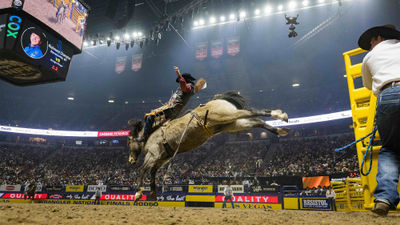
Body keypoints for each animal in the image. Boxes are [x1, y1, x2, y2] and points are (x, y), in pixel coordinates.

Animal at [130, 90, 290, 201]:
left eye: (129, 140)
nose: (130, 160)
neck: (151, 134)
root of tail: (215, 100)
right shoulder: (161, 159)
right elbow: (152, 172)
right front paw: (152, 193)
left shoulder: (153, 155)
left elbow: (143, 169)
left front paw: (138, 193)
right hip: (233, 123)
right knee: (257, 121)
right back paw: (280, 129)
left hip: (227, 116)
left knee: (252, 112)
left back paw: (279, 115)